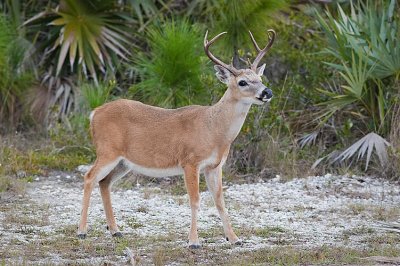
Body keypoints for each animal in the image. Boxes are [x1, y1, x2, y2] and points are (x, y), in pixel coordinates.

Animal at [77, 28, 276, 248]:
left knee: (104, 182)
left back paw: (115, 230)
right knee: (89, 177)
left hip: (123, 162)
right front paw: (194, 241)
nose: (267, 92)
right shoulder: (190, 161)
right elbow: (195, 200)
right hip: (107, 150)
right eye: (242, 82)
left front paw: (234, 238)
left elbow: (220, 201)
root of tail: (94, 113)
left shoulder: (215, 166)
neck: (214, 130)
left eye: (260, 78)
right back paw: (82, 231)